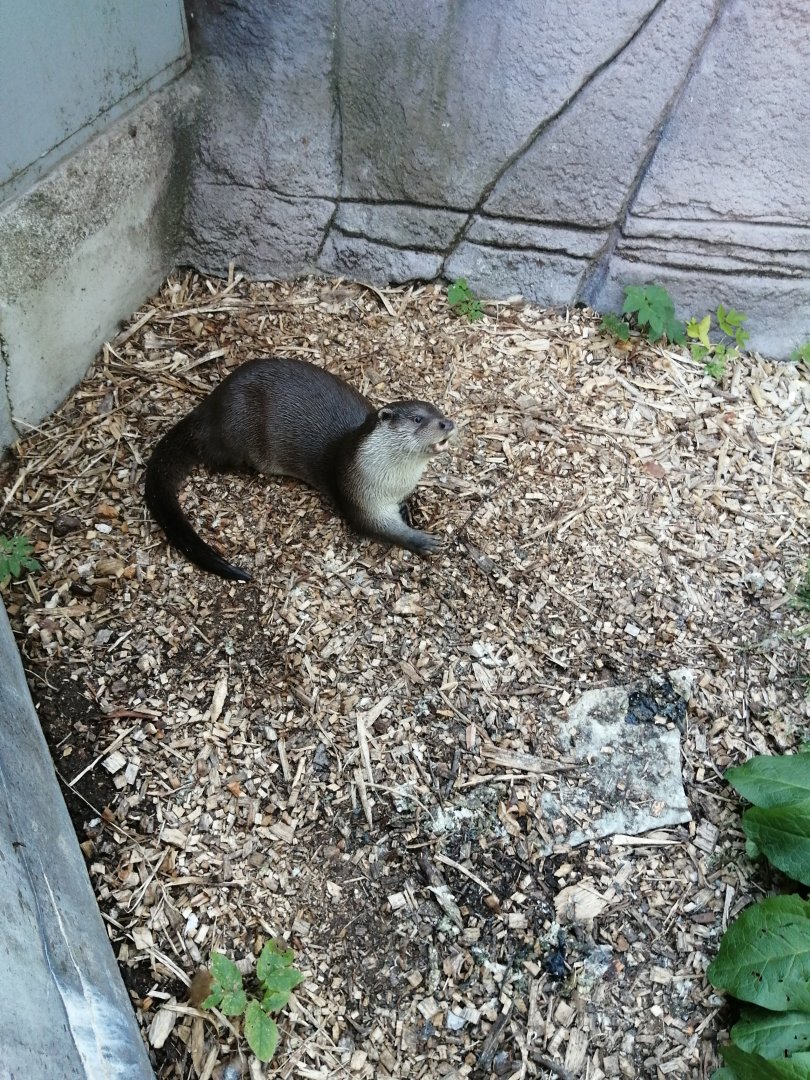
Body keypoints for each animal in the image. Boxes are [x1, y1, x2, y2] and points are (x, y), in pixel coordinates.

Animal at [144, 357, 456, 581]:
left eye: (440, 412)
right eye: (418, 419)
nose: (448, 423)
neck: (391, 483)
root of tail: (209, 409)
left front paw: (409, 512)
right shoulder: (359, 499)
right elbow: (380, 528)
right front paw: (421, 540)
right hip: (237, 433)